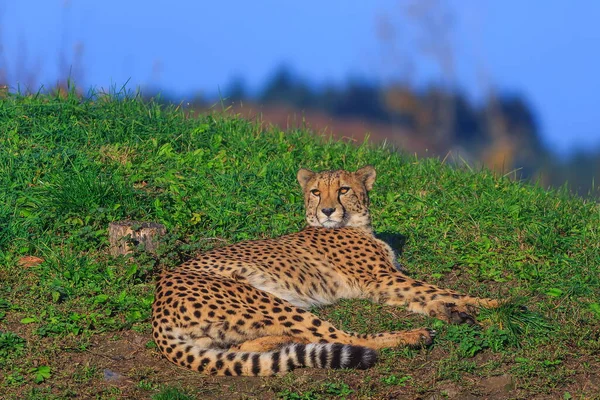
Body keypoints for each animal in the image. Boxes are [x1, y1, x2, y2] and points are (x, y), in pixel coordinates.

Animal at [152, 165, 500, 376]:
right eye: (316, 192)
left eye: (344, 189)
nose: (328, 210)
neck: (356, 224)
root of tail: (158, 305)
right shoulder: (380, 278)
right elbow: (437, 289)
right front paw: (497, 304)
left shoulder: (381, 283)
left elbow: (425, 296)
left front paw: (451, 310)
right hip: (264, 298)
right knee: (347, 337)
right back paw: (413, 336)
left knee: (246, 346)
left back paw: (278, 342)